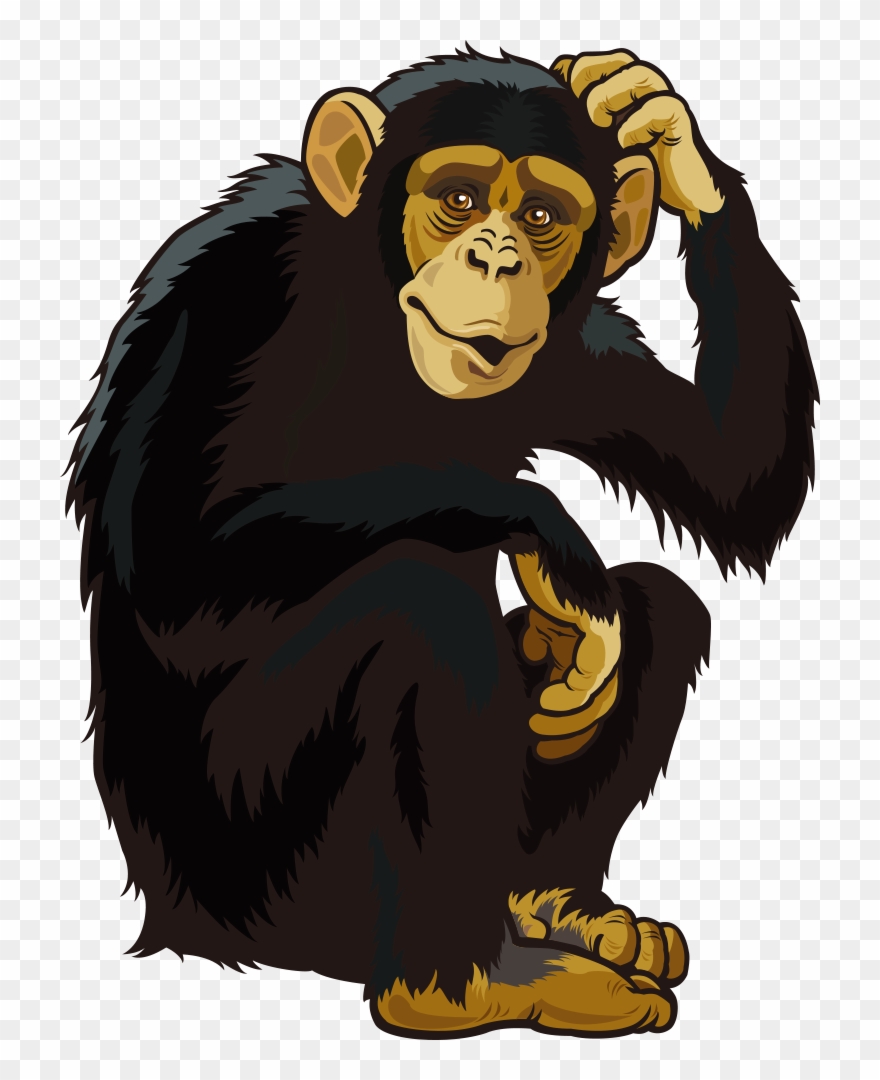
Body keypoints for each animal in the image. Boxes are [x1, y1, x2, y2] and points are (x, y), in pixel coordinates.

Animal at [66, 48, 817, 1038]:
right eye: (458, 198)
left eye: (541, 216)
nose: (495, 255)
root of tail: (172, 918)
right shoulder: (231, 294)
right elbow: (173, 552)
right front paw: (556, 546)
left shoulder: (578, 349)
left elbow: (735, 479)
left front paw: (658, 123)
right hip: (257, 878)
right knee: (415, 606)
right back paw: (460, 983)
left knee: (665, 600)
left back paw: (559, 910)